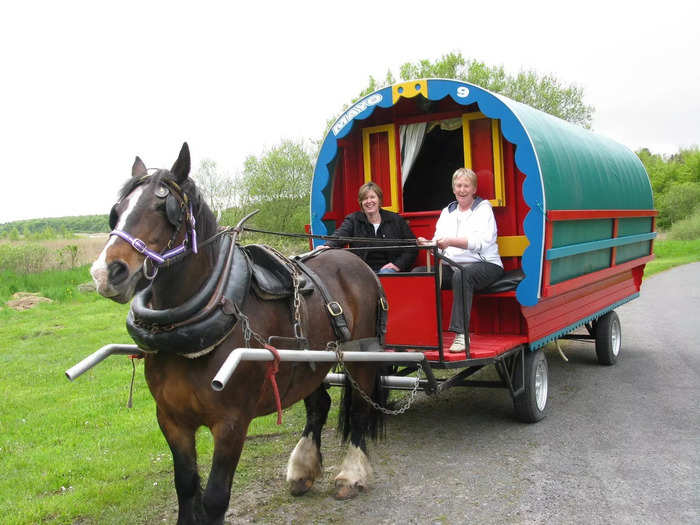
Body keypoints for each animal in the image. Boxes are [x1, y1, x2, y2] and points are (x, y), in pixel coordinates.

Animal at [89, 141, 388, 520]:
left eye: (164, 209)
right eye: (117, 211)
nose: (106, 272)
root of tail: (355, 260)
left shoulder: (231, 424)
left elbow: (216, 497)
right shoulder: (171, 420)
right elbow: (186, 488)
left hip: (361, 358)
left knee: (361, 411)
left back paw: (351, 475)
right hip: (310, 362)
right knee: (318, 406)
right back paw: (302, 471)